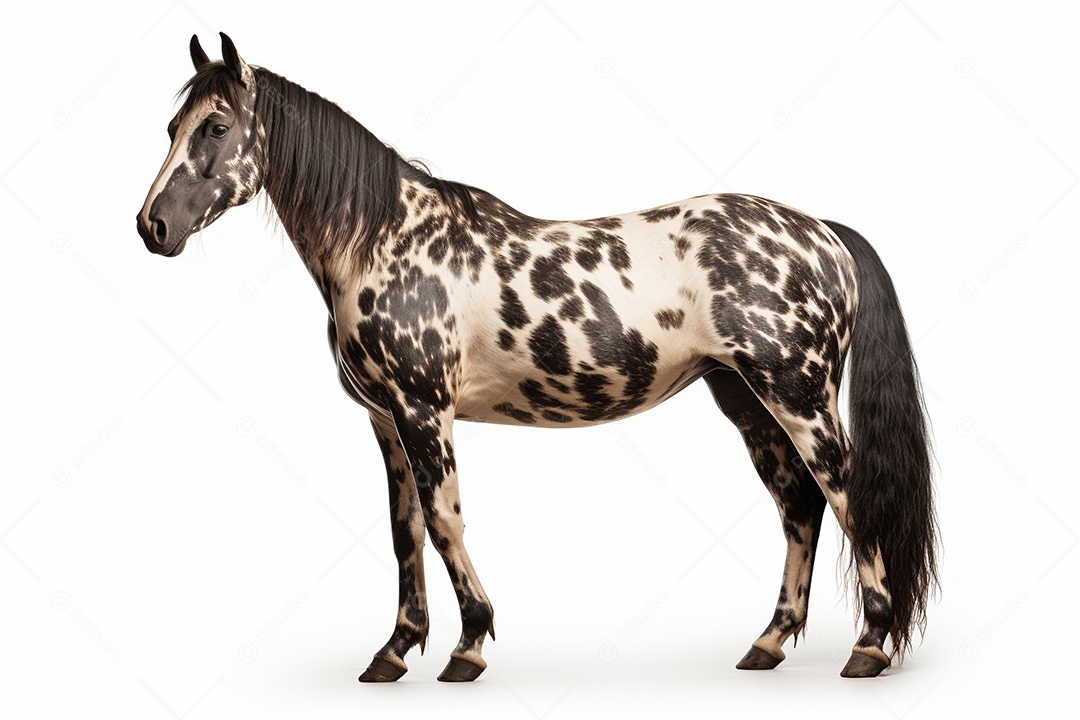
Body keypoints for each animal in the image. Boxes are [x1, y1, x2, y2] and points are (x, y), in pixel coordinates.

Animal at [136, 33, 937, 682]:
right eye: (172, 126)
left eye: (215, 126)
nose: (153, 226)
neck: (386, 239)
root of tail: (822, 234)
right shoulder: (385, 419)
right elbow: (404, 533)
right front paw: (394, 652)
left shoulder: (424, 412)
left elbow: (445, 520)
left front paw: (468, 647)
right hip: (745, 398)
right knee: (799, 505)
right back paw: (768, 643)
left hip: (798, 395)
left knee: (848, 494)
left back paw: (869, 647)